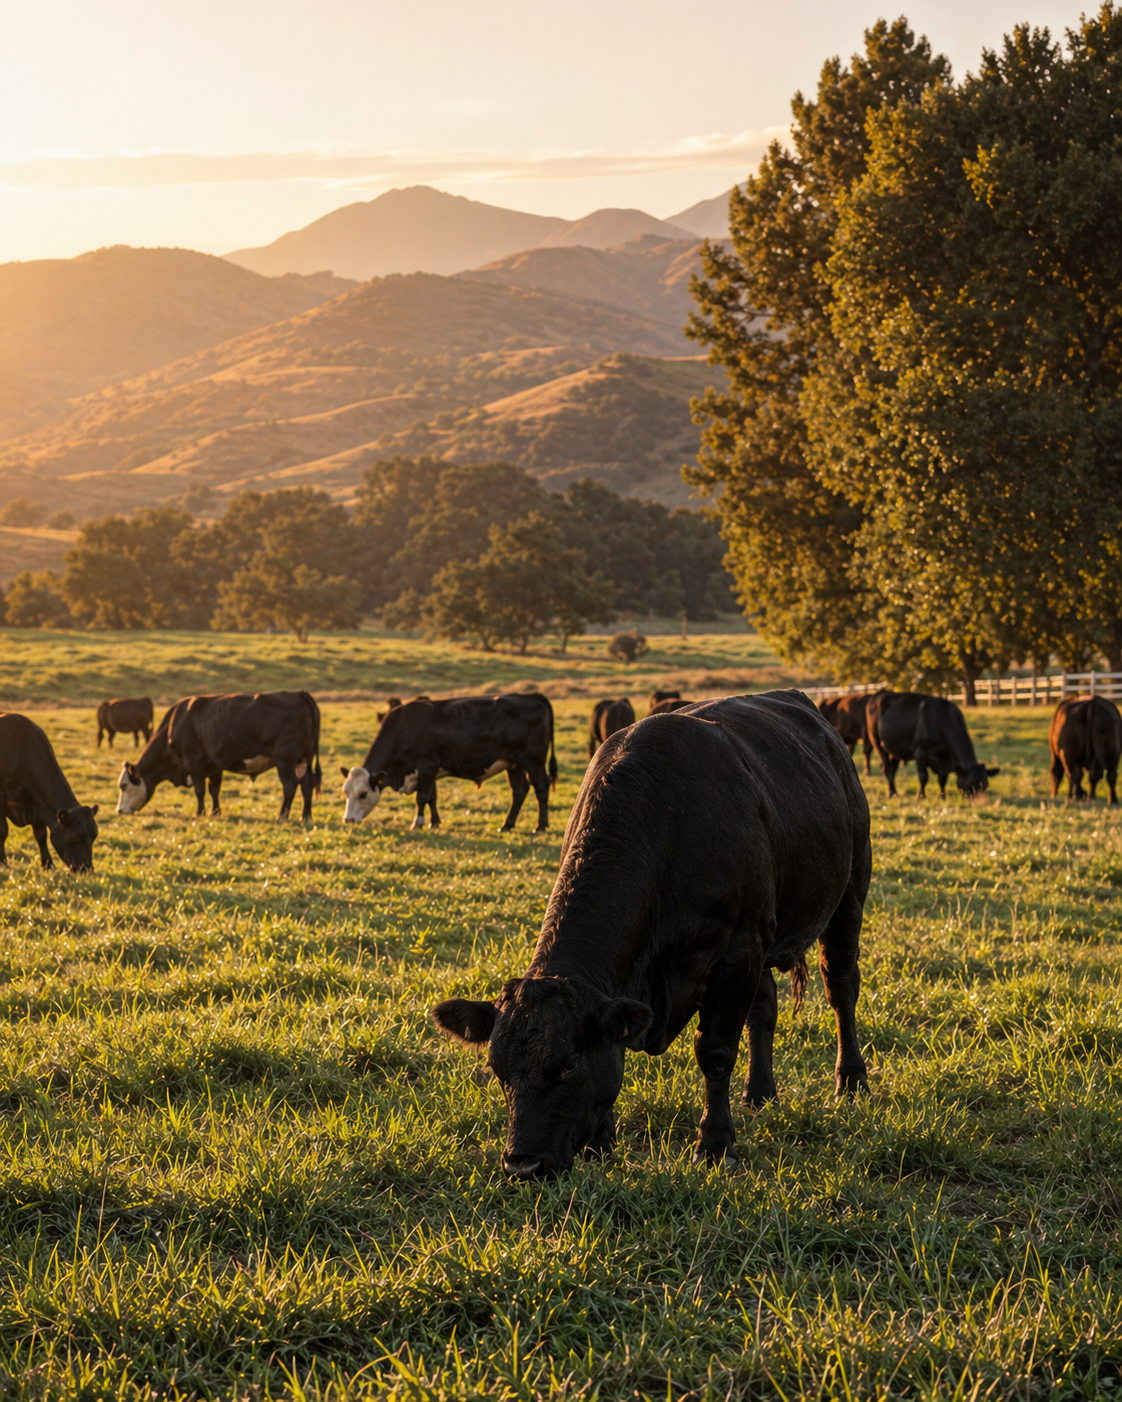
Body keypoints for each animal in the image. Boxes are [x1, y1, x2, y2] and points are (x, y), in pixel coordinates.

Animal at [0, 713, 99, 870]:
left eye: (94, 836)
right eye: (76, 837)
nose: (86, 869)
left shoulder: (37, 803)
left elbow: (41, 834)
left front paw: (47, 864)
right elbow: (3, 831)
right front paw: (3, 862)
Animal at [116, 691, 322, 820]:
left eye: (124, 786)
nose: (119, 810)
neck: (175, 725)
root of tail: (298, 694)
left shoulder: (193, 762)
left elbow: (199, 790)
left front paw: (199, 813)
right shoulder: (214, 766)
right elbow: (214, 789)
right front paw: (216, 812)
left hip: (285, 761)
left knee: (290, 786)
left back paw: (282, 816)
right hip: (304, 760)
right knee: (307, 785)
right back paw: (306, 816)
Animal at [341, 694, 557, 832]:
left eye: (363, 794)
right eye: (346, 792)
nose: (348, 820)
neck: (405, 728)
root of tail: (531, 696)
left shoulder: (427, 766)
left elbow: (421, 798)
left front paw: (418, 823)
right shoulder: (430, 771)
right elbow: (431, 797)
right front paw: (434, 823)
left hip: (533, 761)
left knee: (541, 788)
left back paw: (541, 826)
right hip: (514, 764)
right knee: (519, 792)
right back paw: (507, 825)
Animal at [432, 691, 870, 1178]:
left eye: (568, 1066)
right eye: (496, 1069)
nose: (522, 1164)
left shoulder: (736, 954)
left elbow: (715, 1050)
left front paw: (716, 1144)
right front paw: (601, 1144)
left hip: (849, 894)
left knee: (840, 986)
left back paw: (851, 1080)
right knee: (765, 1007)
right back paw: (759, 1093)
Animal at [868, 691, 998, 798]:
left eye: (985, 785)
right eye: (972, 785)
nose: (980, 802)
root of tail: (878, 695)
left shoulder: (945, 760)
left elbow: (942, 778)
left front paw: (942, 796)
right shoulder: (920, 752)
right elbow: (923, 776)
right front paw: (921, 796)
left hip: (894, 750)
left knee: (892, 768)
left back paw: (894, 792)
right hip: (876, 741)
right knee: (886, 768)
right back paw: (891, 793)